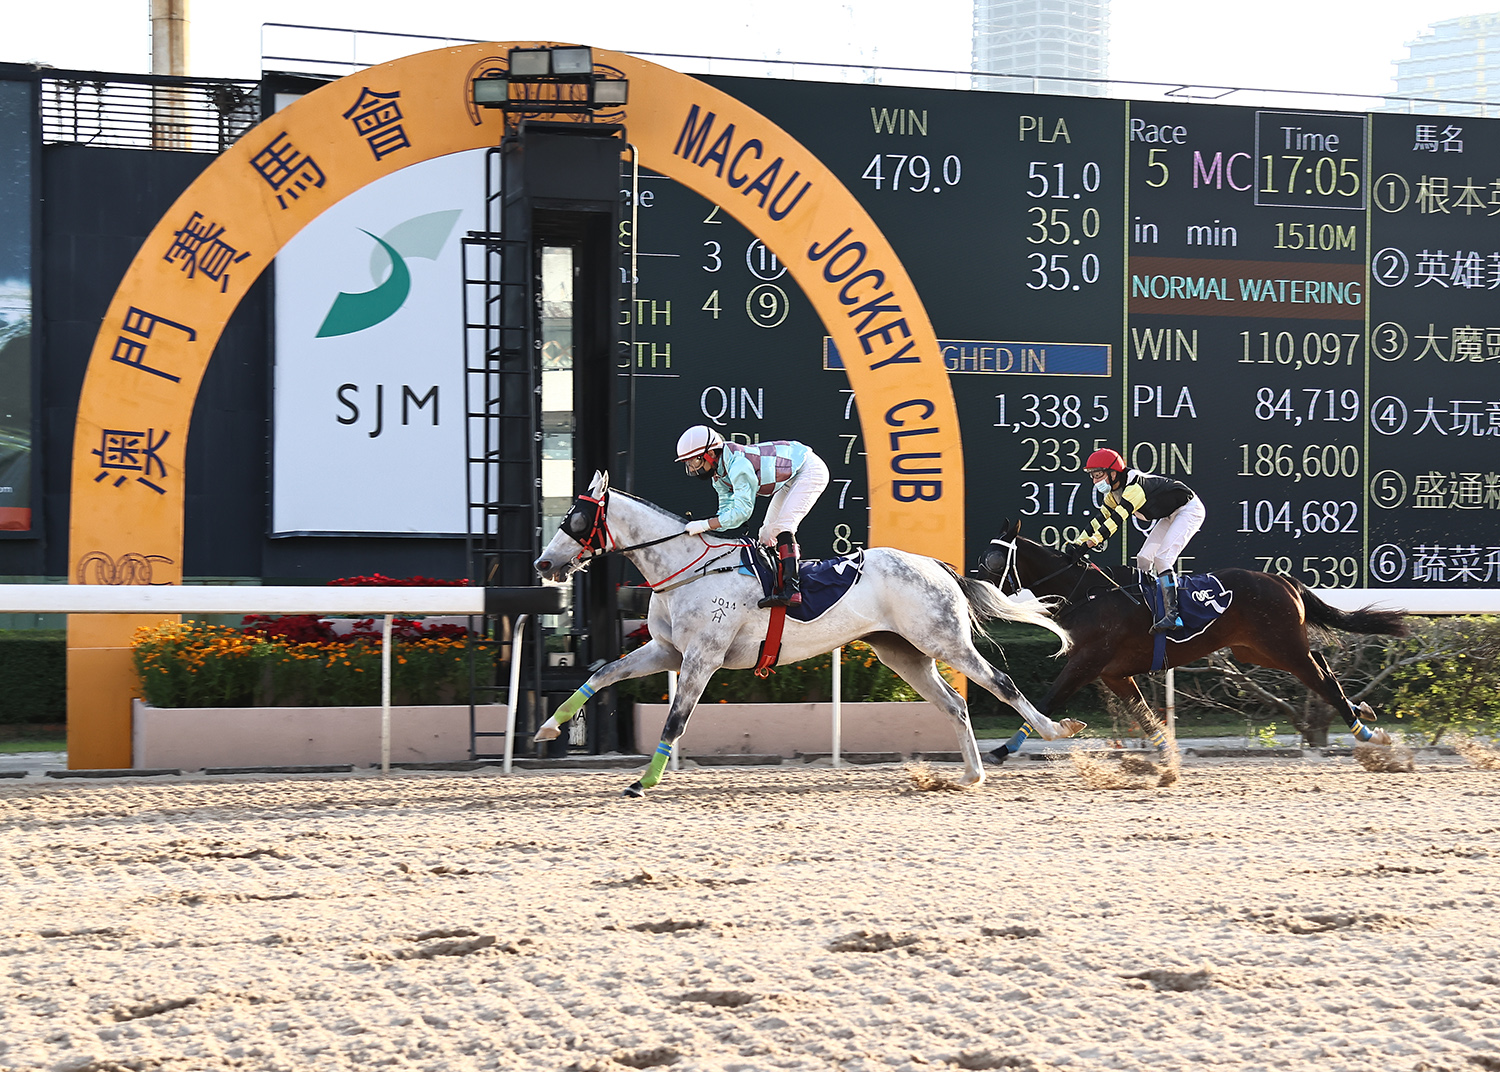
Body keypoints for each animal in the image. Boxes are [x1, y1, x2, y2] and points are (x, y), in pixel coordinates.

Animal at [534, 470, 1086, 797]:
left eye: (576, 518)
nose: (543, 564)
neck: (686, 568)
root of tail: (934, 564)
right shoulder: (666, 651)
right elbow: (602, 675)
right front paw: (549, 728)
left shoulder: (702, 658)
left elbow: (675, 721)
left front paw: (644, 781)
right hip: (903, 654)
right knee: (955, 703)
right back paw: (972, 773)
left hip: (943, 639)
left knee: (1001, 683)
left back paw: (1054, 731)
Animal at [978, 518, 1410, 764]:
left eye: (993, 560)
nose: (973, 587)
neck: (1087, 594)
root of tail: (1282, 579)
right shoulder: (1115, 673)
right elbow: (1145, 717)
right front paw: (1168, 760)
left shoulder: (1087, 661)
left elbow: (1044, 701)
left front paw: (1001, 751)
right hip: (1258, 651)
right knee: (1322, 669)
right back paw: (1363, 711)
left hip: (1283, 647)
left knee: (1324, 679)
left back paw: (1368, 732)